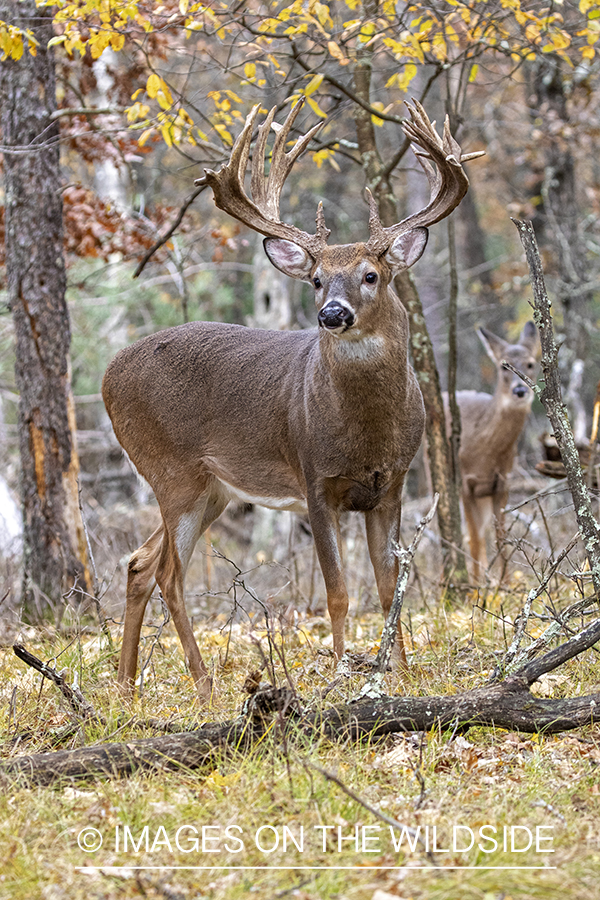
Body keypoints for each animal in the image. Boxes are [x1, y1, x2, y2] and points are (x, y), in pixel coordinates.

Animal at [103, 100, 478, 704]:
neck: (367, 432)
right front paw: (342, 673)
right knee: (168, 574)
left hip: (214, 489)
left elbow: (388, 584)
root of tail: (109, 376)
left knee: (139, 563)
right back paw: (204, 685)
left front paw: (398, 672)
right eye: (318, 279)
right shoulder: (314, 479)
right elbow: (338, 591)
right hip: (171, 469)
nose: (333, 314)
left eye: (371, 275)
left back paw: (126, 684)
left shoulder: (393, 483)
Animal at [452, 324, 540, 584]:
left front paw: (506, 584)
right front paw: (476, 587)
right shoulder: (465, 483)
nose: (520, 390)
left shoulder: (502, 481)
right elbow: (475, 539)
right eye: (503, 366)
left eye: (530, 364)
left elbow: (501, 536)